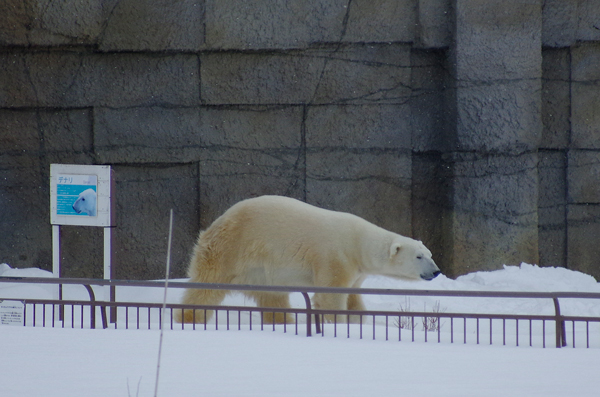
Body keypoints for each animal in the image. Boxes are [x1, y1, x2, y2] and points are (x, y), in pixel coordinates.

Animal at [176, 193, 438, 324]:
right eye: (418, 256)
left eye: (430, 254)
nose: (436, 272)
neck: (358, 242)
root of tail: (217, 222)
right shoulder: (335, 257)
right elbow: (331, 295)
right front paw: (337, 322)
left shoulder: (357, 271)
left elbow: (353, 296)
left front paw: (358, 319)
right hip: (229, 249)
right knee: (207, 285)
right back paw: (188, 317)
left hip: (262, 269)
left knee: (272, 296)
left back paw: (283, 320)